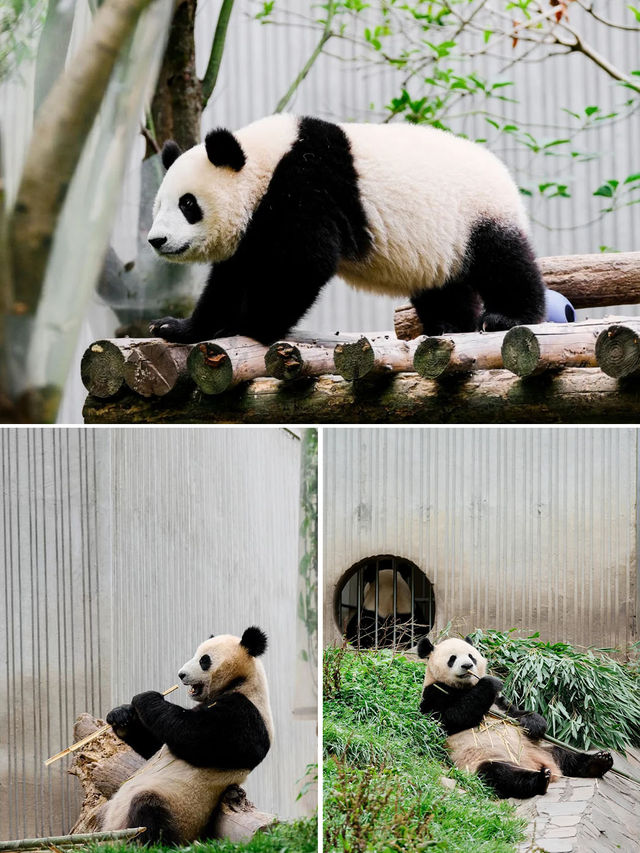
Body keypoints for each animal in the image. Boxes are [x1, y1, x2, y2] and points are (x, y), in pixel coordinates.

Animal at [99, 624, 274, 844]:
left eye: (204, 660)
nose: (181, 675)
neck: (242, 681)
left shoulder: (245, 714)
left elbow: (196, 736)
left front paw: (146, 697)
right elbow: (155, 745)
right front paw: (121, 715)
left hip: (178, 808)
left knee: (148, 810)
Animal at [146, 114, 544, 346]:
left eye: (188, 204)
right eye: (158, 205)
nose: (157, 240)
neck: (264, 161)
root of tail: (501, 170)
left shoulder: (306, 186)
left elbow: (304, 262)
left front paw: (255, 325)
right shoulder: (256, 225)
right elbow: (231, 277)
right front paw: (177, 328)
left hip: (477, 212)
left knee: (504, 261)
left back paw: (510, 317)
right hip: (441, 244)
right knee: (445, 286)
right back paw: (448, 324)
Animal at [418, 632, 612, 800]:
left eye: (471, 656)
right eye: (452, 659)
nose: (467, 666)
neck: (465, 687)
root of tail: (536, 764)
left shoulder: (499, 703)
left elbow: (516, 712)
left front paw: (534, 724)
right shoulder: (434, 694)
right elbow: (449, 719)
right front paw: (490, 682)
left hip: (540, 747)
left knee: (566, 753)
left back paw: (598, 762)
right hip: (483, 759)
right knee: (500, 774)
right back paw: (539, 780)